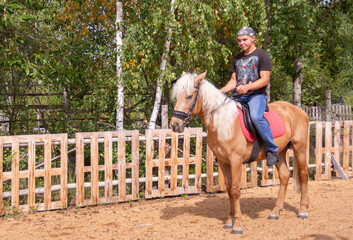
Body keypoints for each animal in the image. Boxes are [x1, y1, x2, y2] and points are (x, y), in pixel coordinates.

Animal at [170, 71, 308, 234]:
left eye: (189, 96)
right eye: (176, 96)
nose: (175, 124)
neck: (224, 124)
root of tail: (298, 110)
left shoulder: (235, 160)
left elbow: (236, 190)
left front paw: (237, 225)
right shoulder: (223, 161)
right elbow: (229, 190)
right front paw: (229, 221)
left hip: (300, 147)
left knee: (304, 174)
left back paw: (303, 210)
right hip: (279, 153)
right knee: (285, 176)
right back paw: (275, 212)